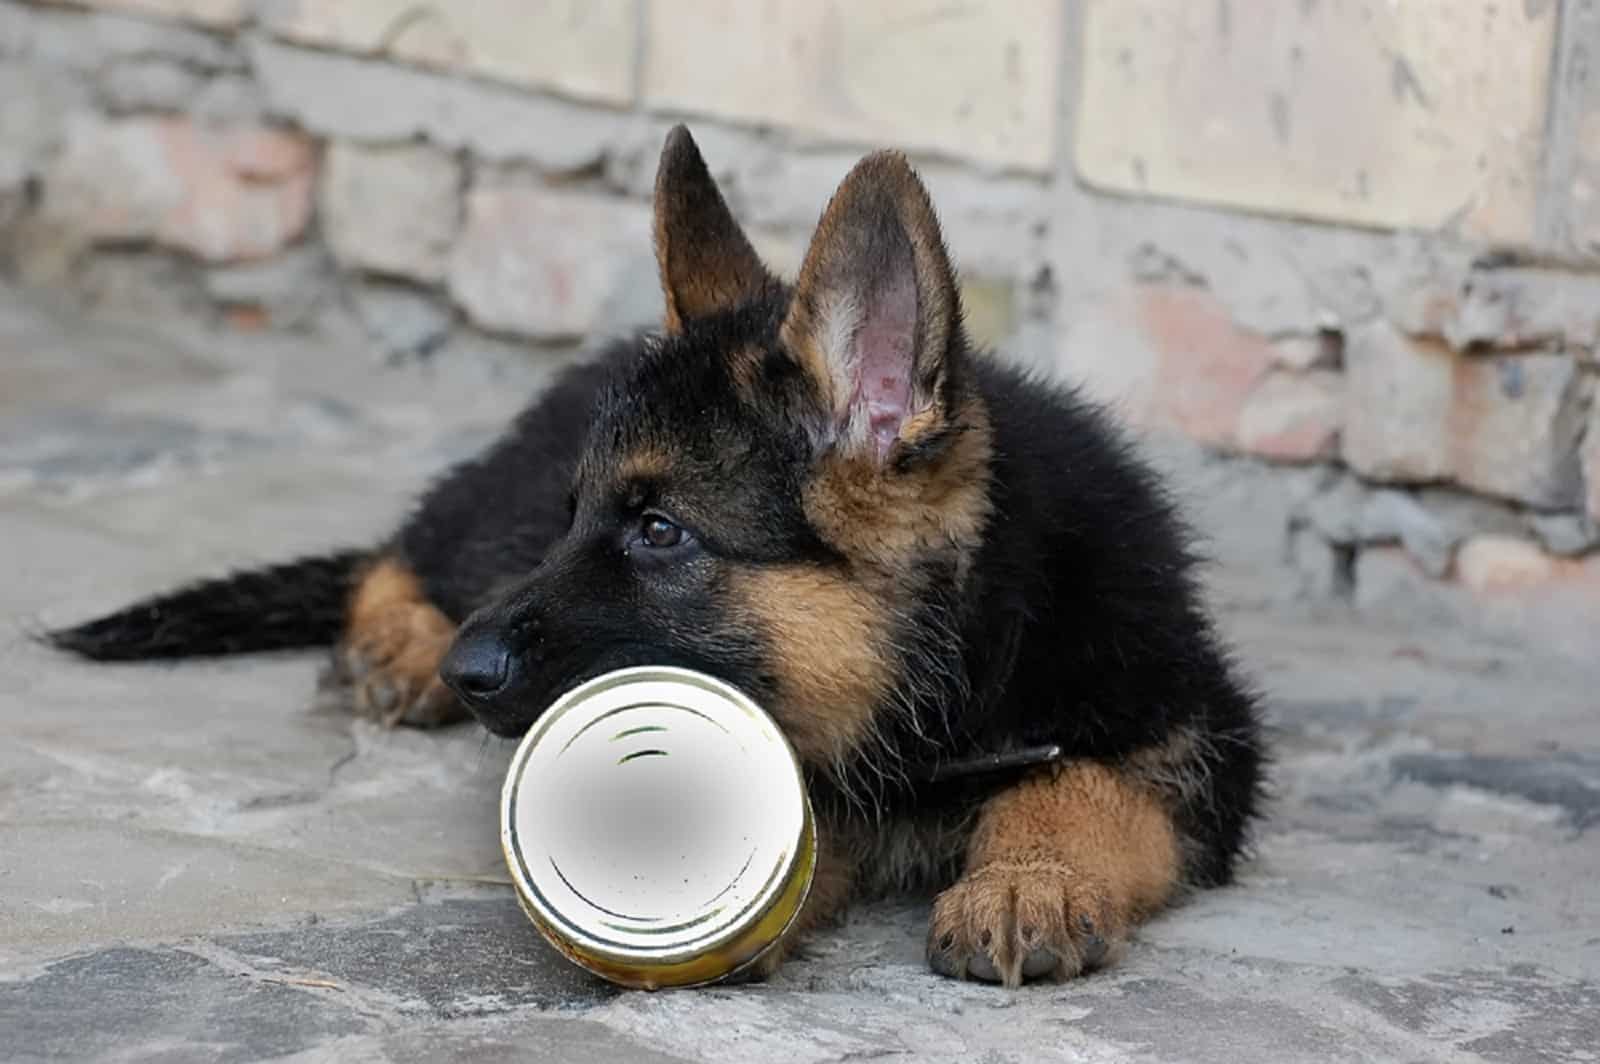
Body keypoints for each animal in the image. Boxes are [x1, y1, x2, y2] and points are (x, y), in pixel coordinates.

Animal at [53, 126, 1260, 985]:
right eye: (585, 517)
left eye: (660, 531)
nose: (467, 671)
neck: (949, 685)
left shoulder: (1191, 728)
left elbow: (1082, 782)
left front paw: (1027, 877)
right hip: (492, 518)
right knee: (406, 544)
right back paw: (397, 642)